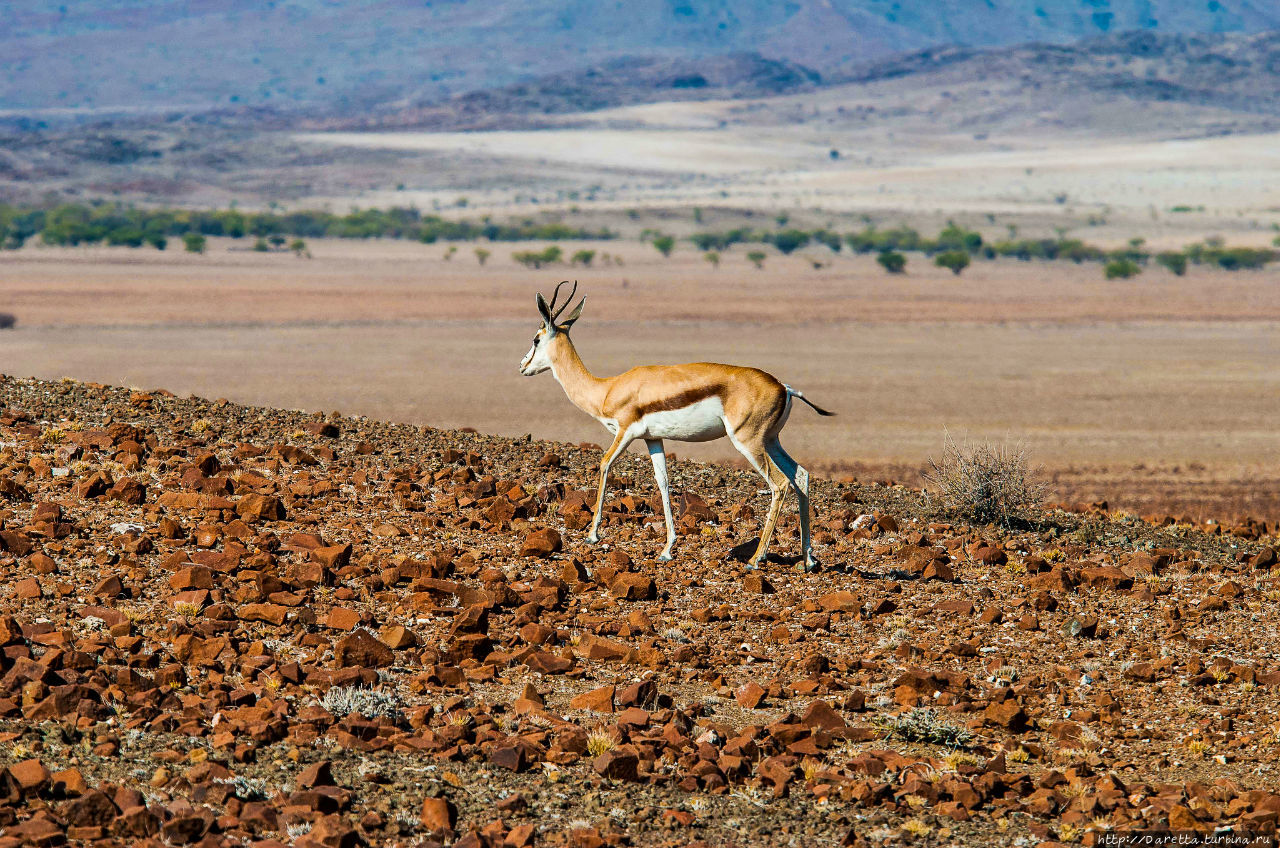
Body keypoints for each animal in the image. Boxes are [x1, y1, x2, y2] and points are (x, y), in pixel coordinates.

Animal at [522, 284, 839, 571]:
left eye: (536, 339)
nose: (522, 366)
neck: (607, 388)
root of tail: (785, 387)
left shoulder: (625, 432)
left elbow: (604, 464)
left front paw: (592, 535)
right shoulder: (652, 439)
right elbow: (663, 482)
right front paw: (666, 550)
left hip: (749, 442)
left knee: (780, 484)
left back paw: (755, 559)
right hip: (771, 440)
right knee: (801, 475)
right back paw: (808, 560)